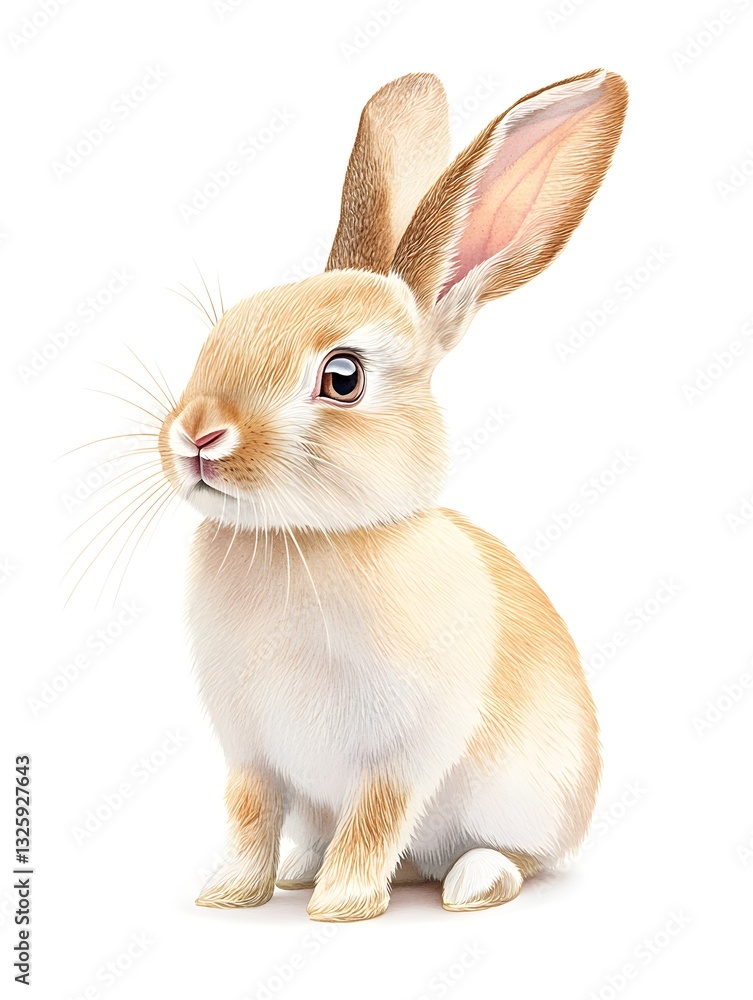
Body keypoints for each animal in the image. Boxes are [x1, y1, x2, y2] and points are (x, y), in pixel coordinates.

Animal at [157, 69, 627, 921]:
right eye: (223, 330)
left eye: (342, 377)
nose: (199, 435)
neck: (306, 539)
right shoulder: (250, 752)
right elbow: (250, 814)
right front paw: (230, 896)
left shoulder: (401, 752)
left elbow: (376, 818)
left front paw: (341, 905)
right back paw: (302, 866)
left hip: (526, 799)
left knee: (510, 856)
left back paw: (470, 881)